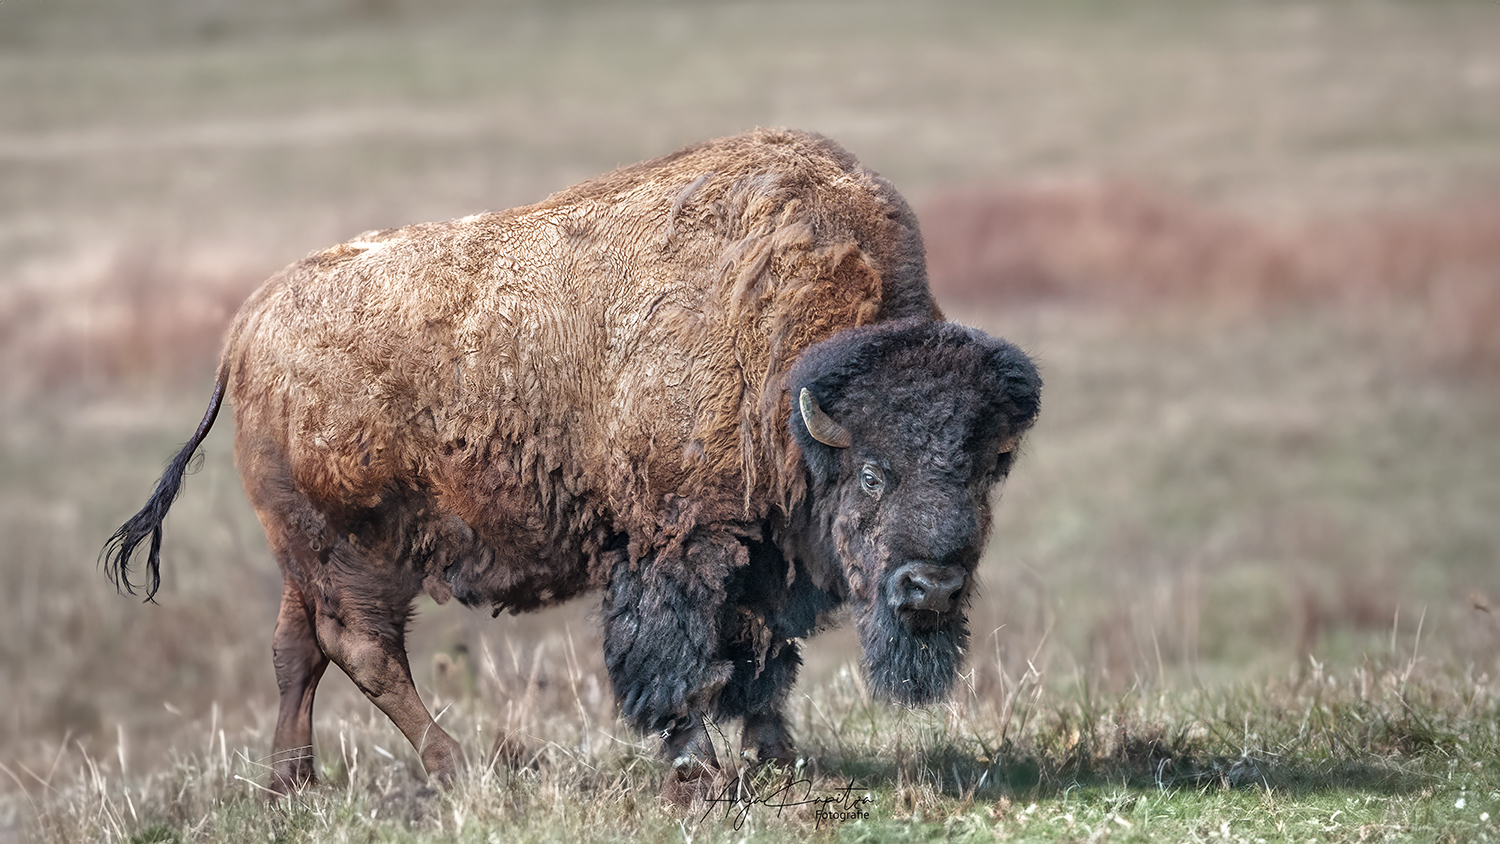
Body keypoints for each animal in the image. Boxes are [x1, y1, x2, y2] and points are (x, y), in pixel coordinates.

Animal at [102, 128, 1044, 797]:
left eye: (984, 469)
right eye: (875, 473)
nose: (932, 589)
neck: (781, 364)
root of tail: (247, 328)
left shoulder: (764, 556)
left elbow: (763, 660)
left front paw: (778, 759)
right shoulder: (680, 543)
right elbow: (679, 657)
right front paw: (698, 771)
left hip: (304, 556)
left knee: (297, 650)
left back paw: (291, 789)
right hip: (359, 554)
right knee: (362, 649)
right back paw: (457, 769)